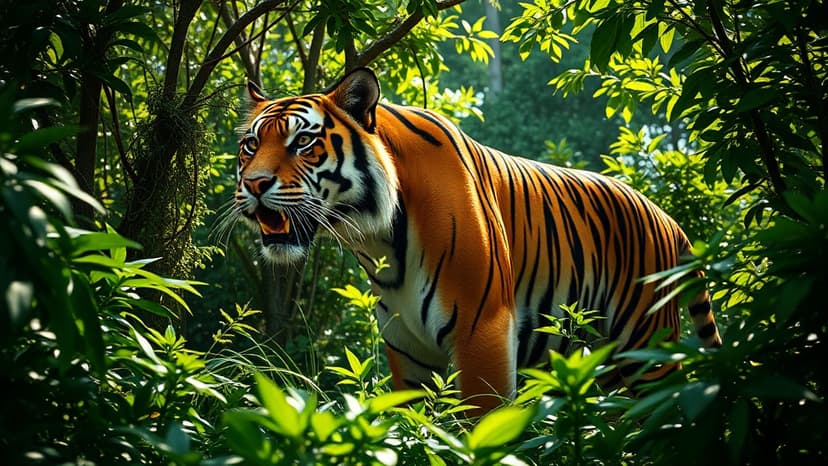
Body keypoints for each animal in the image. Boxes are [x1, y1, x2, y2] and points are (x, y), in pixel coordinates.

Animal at [232, 67, 722, 414]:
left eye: (302, 142)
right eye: (250, 146)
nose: (253, 184)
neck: (378, 241)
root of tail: (668, 218)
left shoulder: (482, 330)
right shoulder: (406, 346)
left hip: (647, 348)